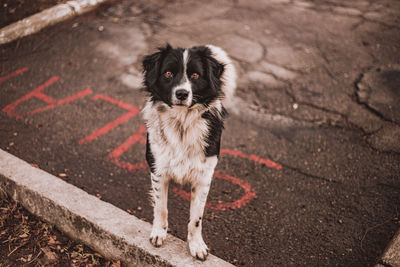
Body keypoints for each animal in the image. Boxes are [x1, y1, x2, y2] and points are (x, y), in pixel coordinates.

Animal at [141, 44, 236, 262]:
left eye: (195, 75)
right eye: (168, 73)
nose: (182, 94)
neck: (182, 124)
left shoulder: (203, 176)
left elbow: (196, 218)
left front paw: (196, 245)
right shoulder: (158, 169)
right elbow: (161, 206)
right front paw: (159, 233)